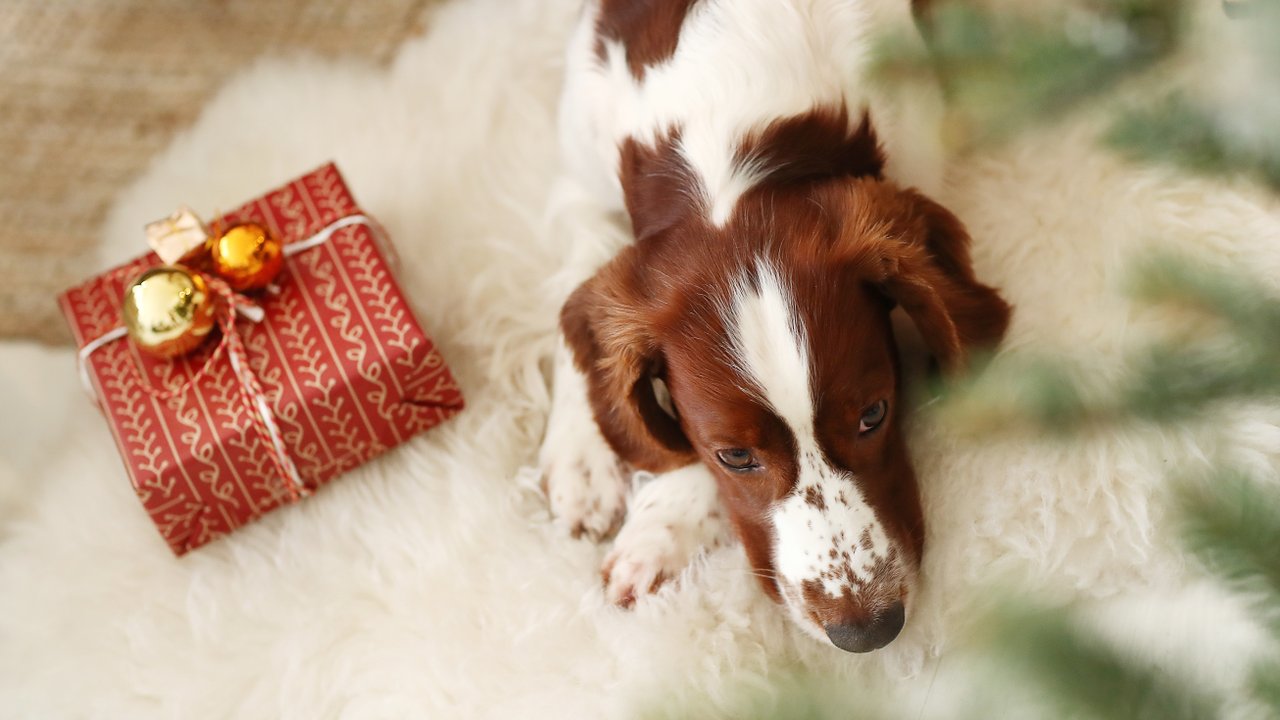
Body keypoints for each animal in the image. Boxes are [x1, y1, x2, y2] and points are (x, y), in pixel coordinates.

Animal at [537, 0, 1008, 650]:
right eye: (735, 455)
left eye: (874, 413)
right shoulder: (580, 183)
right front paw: (589, 466)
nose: (868, 630)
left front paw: (663, 525)